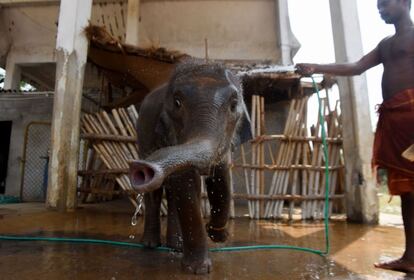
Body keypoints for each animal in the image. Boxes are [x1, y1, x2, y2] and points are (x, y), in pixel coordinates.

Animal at [131, 61, 251, 274]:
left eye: (233, 105)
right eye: (177, 103)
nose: (142, 168)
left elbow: (220, 178)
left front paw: (217, 234)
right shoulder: (170, 134)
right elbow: (185, 182)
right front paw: (198, 270)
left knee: (171, 191)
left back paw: (176, 246)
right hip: (143, 135)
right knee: (156, 192)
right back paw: (151, 245)